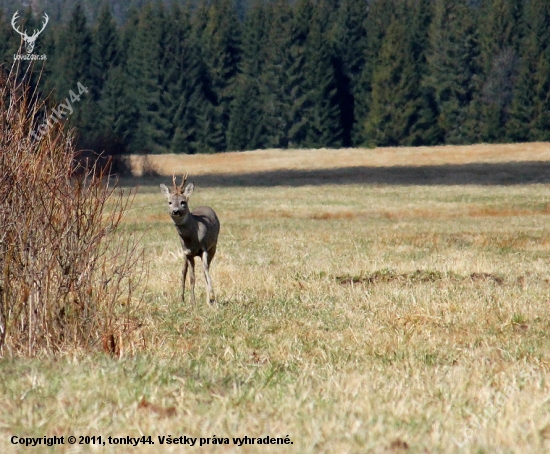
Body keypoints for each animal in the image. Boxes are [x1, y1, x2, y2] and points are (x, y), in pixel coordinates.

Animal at [161, 174, 221, 306]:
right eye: (169, 202)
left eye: (183, 202)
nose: (175, 211)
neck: (192, 239)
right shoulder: (188, 252)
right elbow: (191, 277)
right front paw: (192, 301)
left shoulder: (204, 248)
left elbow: (205, 270)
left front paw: (212, 296)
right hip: (184, 254)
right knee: (183, 271)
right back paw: (182, 298)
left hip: (213, 247)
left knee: (205, 269)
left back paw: (208, 299)